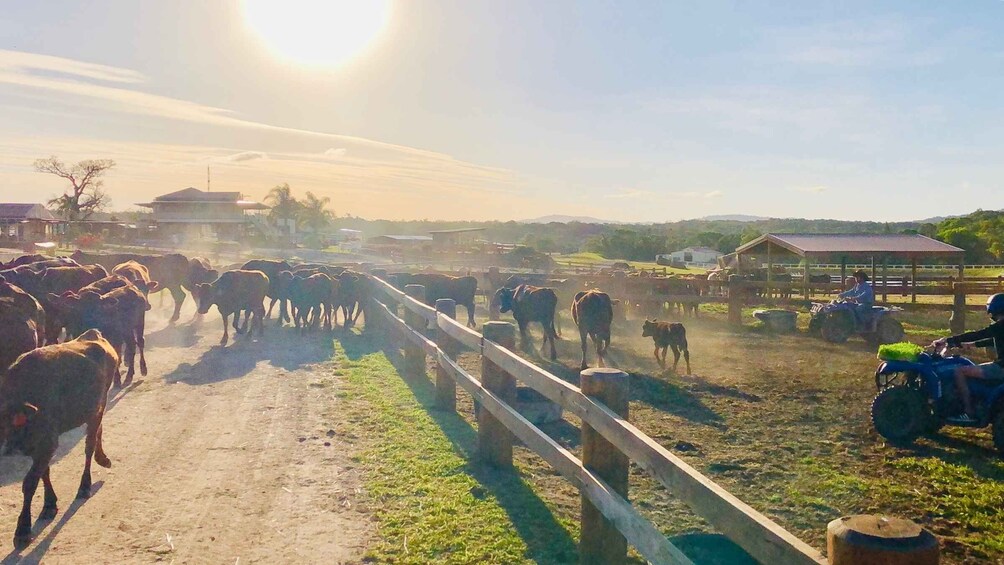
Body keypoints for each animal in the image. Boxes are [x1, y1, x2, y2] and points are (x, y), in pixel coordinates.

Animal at [0, 327, 116, 549]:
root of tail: (94, 334)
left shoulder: (47, 443)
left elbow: (30, 482)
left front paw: (23, 530)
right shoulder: (39, 448)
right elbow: (44, 472)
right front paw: (49, 504)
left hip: (99, 404)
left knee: (89, 445)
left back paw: (85, 485)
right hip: (95, 408)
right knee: (98, 431)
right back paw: (102, 458)